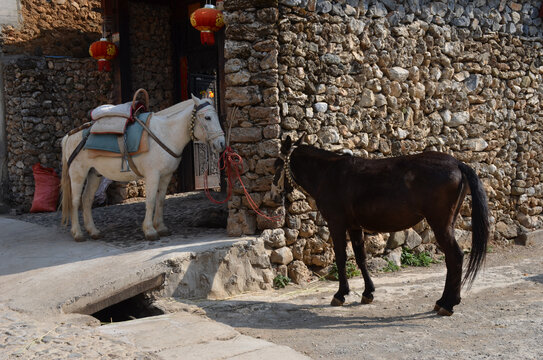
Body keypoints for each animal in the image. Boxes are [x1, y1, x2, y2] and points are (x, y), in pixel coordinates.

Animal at [61, 95, 225, 242]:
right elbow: (150, 201)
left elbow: (160, 200)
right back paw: (78, 234)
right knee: (75, 201)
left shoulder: (166, 175)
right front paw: (150, 231)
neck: (165, 134)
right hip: (78, 173)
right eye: (208, 118)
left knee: (87, 199)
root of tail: (70, 136)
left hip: (94, 174)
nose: (222, 143)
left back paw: (93, 231)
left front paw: (161, 227)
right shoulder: (153, 175)